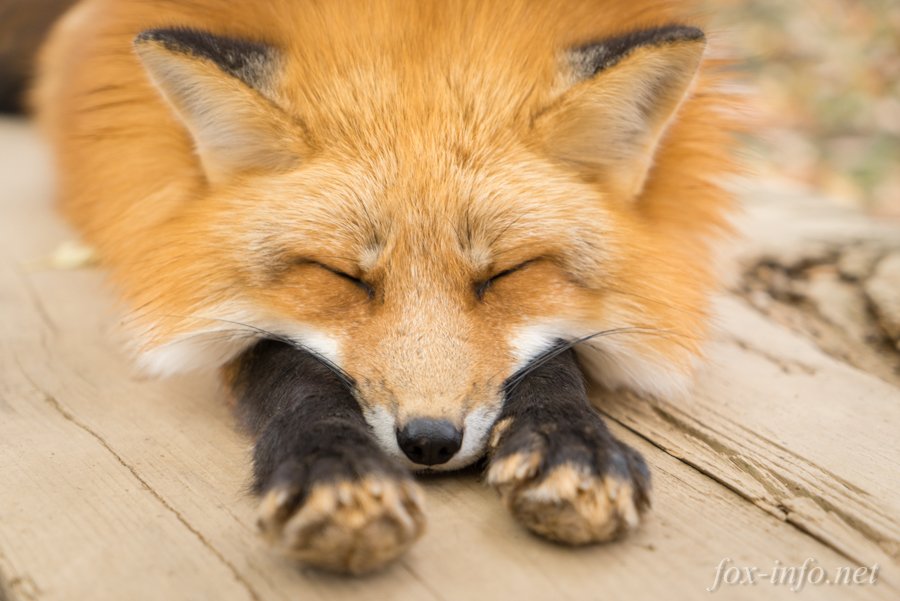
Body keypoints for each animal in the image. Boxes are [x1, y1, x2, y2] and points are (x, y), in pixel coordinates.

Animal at [31, 0, 740, 576]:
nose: (428, 442)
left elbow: (556, 358)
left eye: (506, 275)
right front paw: (332, 465)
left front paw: (573, 441)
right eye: (341, 277)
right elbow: (286, 363)